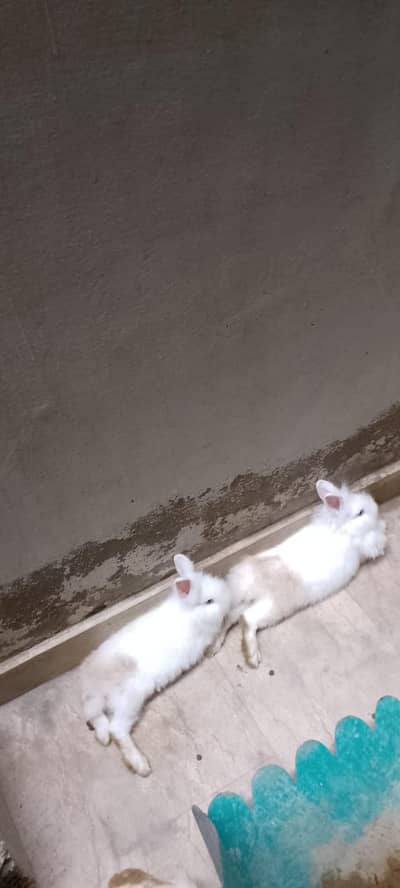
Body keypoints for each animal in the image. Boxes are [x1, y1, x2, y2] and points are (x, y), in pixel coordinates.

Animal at [80, 554, 231, 776]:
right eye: (209, 601)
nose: (228, 595)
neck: (189, 613)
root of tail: (95, 683)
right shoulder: (207, 635)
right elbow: (220, 632)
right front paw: (216, 647)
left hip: (101, 703)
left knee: (96, 717)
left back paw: (102, 738)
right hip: (130, 699)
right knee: (117, 729)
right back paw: (140, 765)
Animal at [208, 479, 386, 668]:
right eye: (360, 512)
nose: (375, 505)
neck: (342, 527)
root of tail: (248, 585)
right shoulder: (365, 544)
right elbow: (376, 541)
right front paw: (383, 529)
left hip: (242, 604)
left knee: (228, 620)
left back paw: (214, 647)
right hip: (273, 608)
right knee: (248, 620)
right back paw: (252, 657)